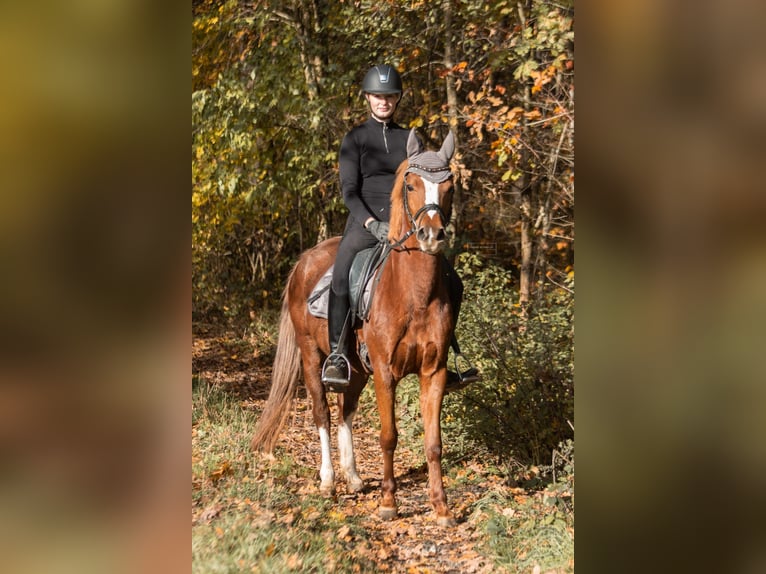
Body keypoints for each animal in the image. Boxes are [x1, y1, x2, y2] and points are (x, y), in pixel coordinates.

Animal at [252, 129, 460, 528]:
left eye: (449, 186)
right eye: (411, 184)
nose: (431, 235)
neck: (413, 294)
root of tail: (305, 260)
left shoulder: (434, 371)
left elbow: (433, 442)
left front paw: (441, 507)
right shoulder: (385, 372)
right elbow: (388, 436)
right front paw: (389, 503)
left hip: (357, 368)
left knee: (344, 410)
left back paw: (352, 476)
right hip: (312, 355)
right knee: (322, 412)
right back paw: (329, 480)